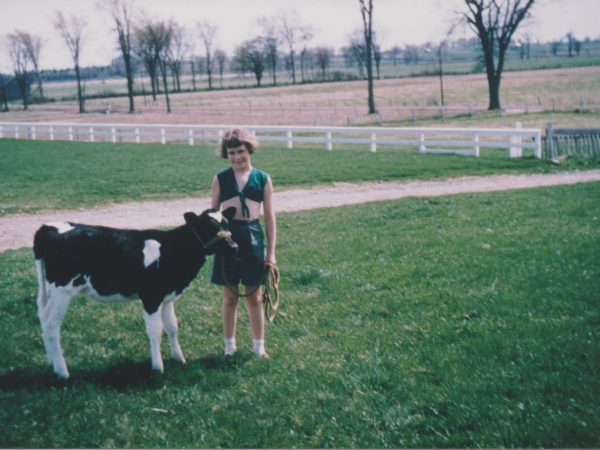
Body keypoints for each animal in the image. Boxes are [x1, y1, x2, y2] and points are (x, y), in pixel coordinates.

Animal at [33, 208, 237, 380]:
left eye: (227, 224)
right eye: (209, 226)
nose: (234, 246)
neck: (172, 248)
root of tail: (47, 227)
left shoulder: (168, 297)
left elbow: (172, 327)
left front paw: (179, 358)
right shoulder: (152, 297)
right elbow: (155, 331)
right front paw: (158, 367)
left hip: (51, 290)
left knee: (43, 317)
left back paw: (52, 363)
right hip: (62, 290)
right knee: (51, 325)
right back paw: (62, 372)